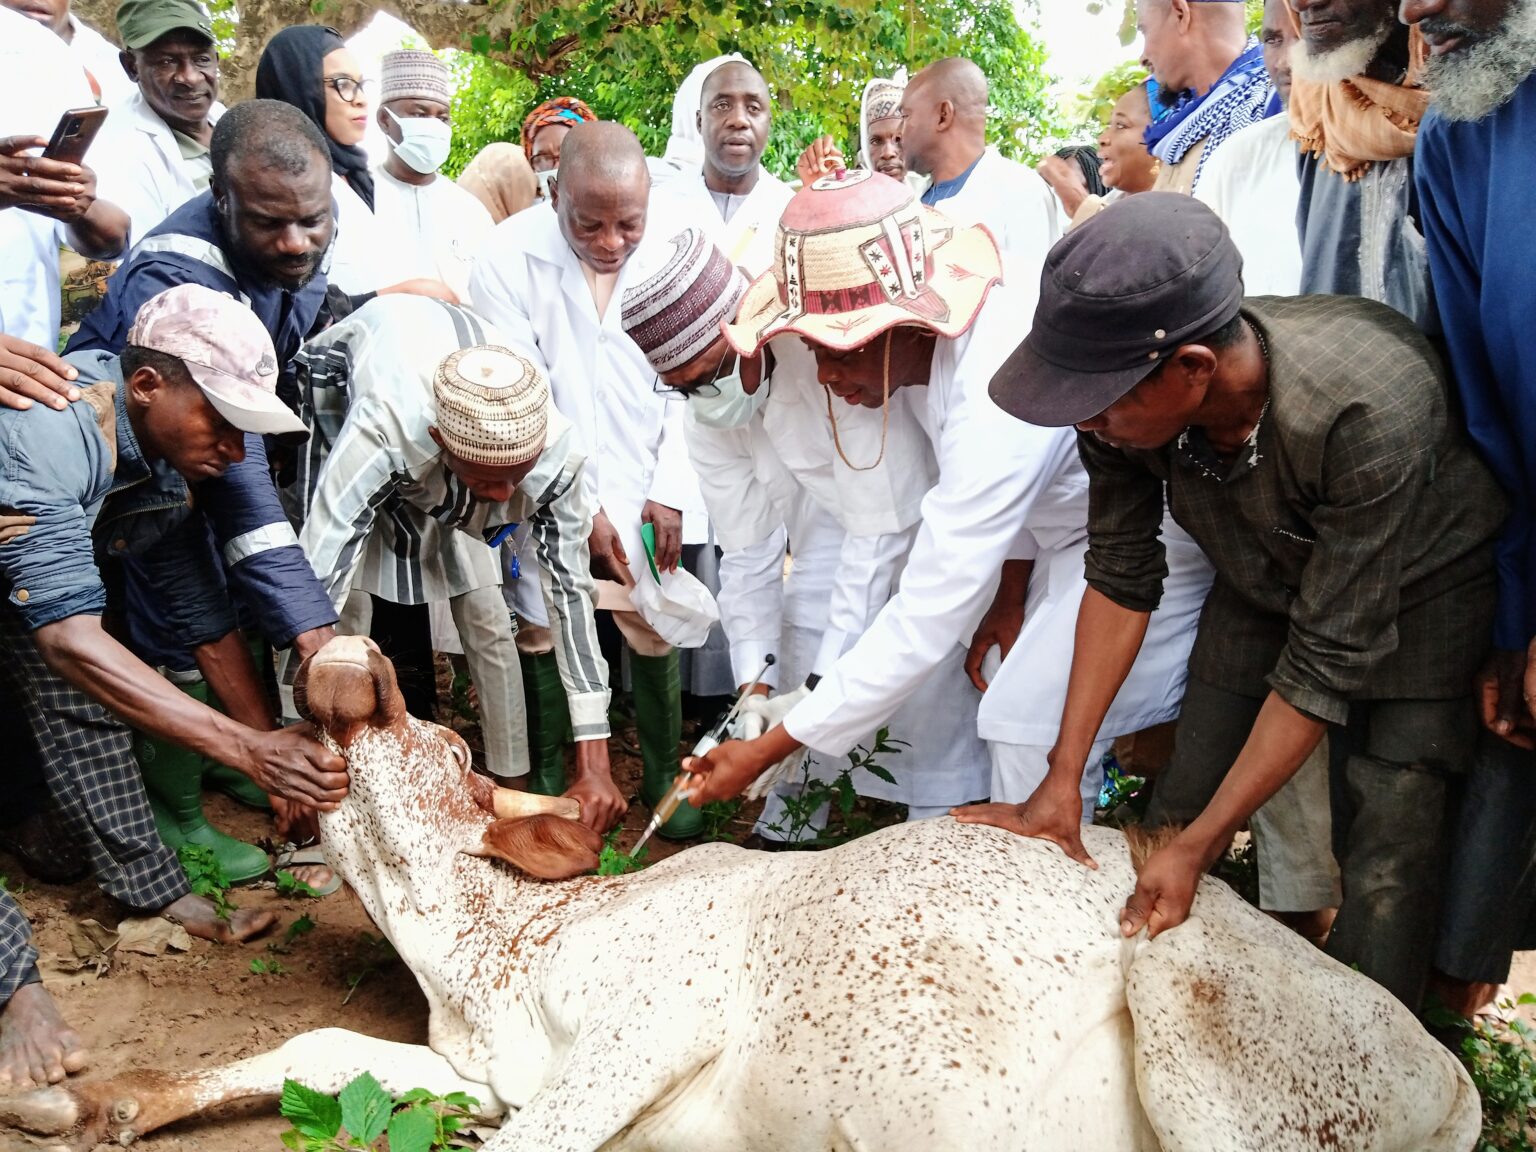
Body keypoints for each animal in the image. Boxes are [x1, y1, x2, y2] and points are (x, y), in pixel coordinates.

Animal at [3, 642, 1486, 1152]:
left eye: (456, 754)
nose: (349, 659)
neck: (486, 961)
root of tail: (1448, 1067)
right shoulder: (478, 1068)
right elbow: (319, 1051)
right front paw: (99, 1103)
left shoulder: (649, 1030)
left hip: (1198, 1016)